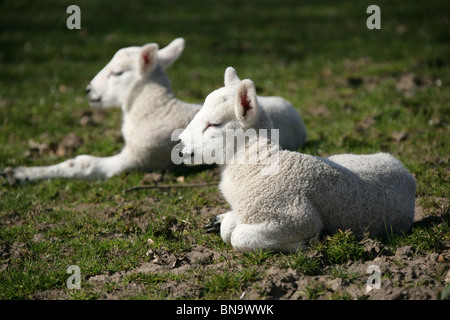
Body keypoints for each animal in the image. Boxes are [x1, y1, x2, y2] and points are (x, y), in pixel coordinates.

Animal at [2, 38, 306, 182]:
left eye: (117, 72)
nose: (88, 90)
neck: (154, 108)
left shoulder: (137, 157)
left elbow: (83, 163)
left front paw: (20, 173)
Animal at [178, 67, 416, 252]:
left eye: (214, 124)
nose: (179, 146)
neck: (257, 166)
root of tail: (405, 171)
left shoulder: (297, 218)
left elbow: (237, 237)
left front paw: (304, 243)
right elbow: (229, 229)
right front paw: (222, 221)